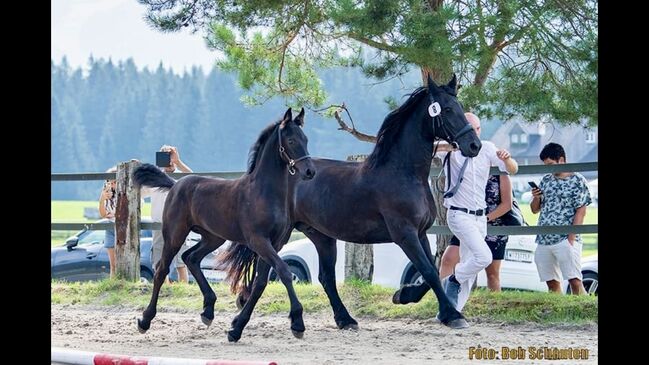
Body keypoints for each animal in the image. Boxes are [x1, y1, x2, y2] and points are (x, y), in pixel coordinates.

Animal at [133, 106, 316, 340]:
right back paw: (145, 320)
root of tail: (175, 184)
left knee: (191, 257)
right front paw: (297, 322)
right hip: (175, 234)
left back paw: (208, 310)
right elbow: (284, 271)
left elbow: (260, 283)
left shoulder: (274, 244)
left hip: (213, 238)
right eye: (291, 140)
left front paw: (236, 328)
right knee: (161, 270)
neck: (263, 193)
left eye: (306, 139)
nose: (310, 171)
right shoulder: (259, 241)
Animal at [223, 72, 480, 332]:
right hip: (281, 236)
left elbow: (433, 271)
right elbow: (428, 271)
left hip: (321, 236)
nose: (474, 145)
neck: (404, 173)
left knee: (325, 278)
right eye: (447, 109)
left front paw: (406, 296)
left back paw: (345, 319)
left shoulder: (420, 233)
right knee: (268, 271)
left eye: (459, 107)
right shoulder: (405, 234)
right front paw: (451, 314)